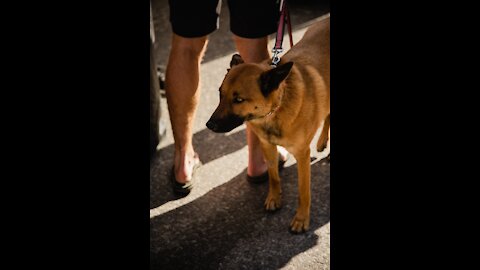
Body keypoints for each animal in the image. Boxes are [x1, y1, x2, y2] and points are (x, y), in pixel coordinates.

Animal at [206, 15, 330, 233]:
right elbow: (273, 176)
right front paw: (274, 198)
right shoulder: (267, 146)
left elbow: (303, 192)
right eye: (220, 94)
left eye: (238, 100)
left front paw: (301, 219)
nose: (209, 125)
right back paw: (323, 140)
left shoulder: (302, 155)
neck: (275, 111)